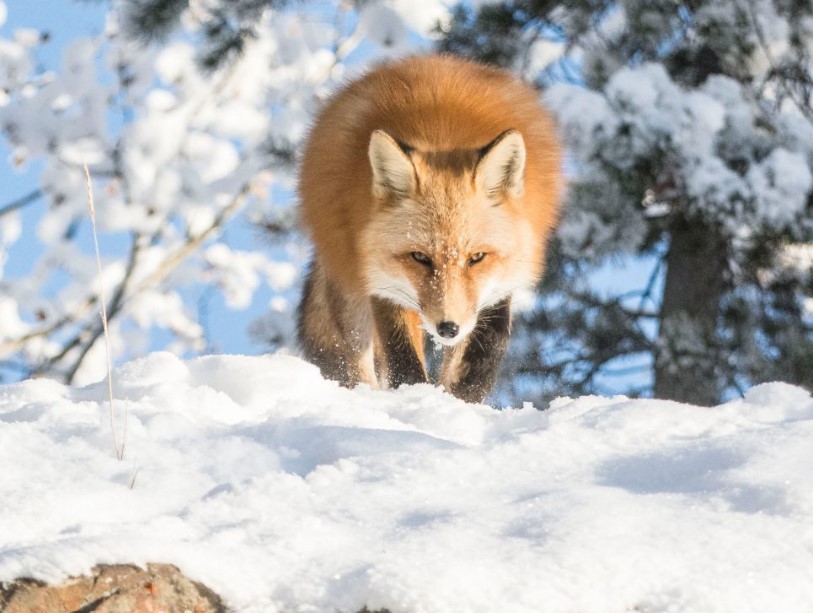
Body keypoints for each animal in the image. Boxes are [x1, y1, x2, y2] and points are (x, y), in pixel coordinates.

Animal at [300, 55, 564, 402]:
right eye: (419, 257)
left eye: (477, 257)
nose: (447, 328)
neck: (444, 134)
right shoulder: (382, 282)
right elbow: (403, 360)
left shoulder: (496, 287)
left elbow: (485, 352)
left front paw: (460, 402)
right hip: (349, 287)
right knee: (357, 362)